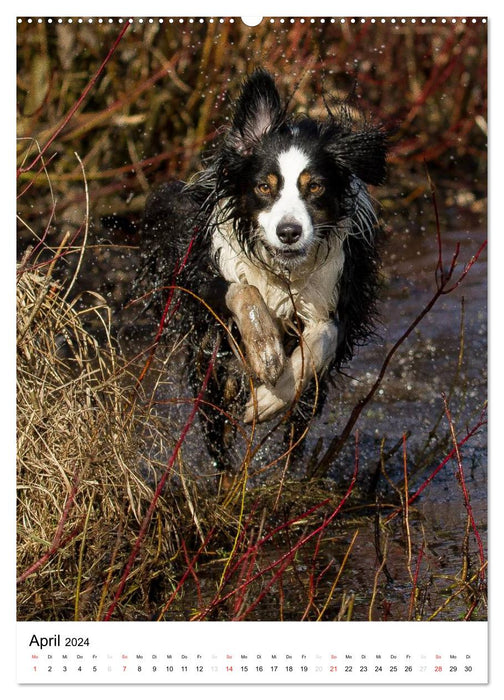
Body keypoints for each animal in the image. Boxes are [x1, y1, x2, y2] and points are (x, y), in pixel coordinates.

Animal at [137, 67, 386, 476]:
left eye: (316, 187)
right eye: (264, 187)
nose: (289, 232)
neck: (281, 269)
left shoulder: (339, 293)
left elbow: (322, 338)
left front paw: (270, 397)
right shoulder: (202, 275)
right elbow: (241, 290)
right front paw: (266, 352)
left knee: (296, 427)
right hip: (206, 365)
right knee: (214, 421)